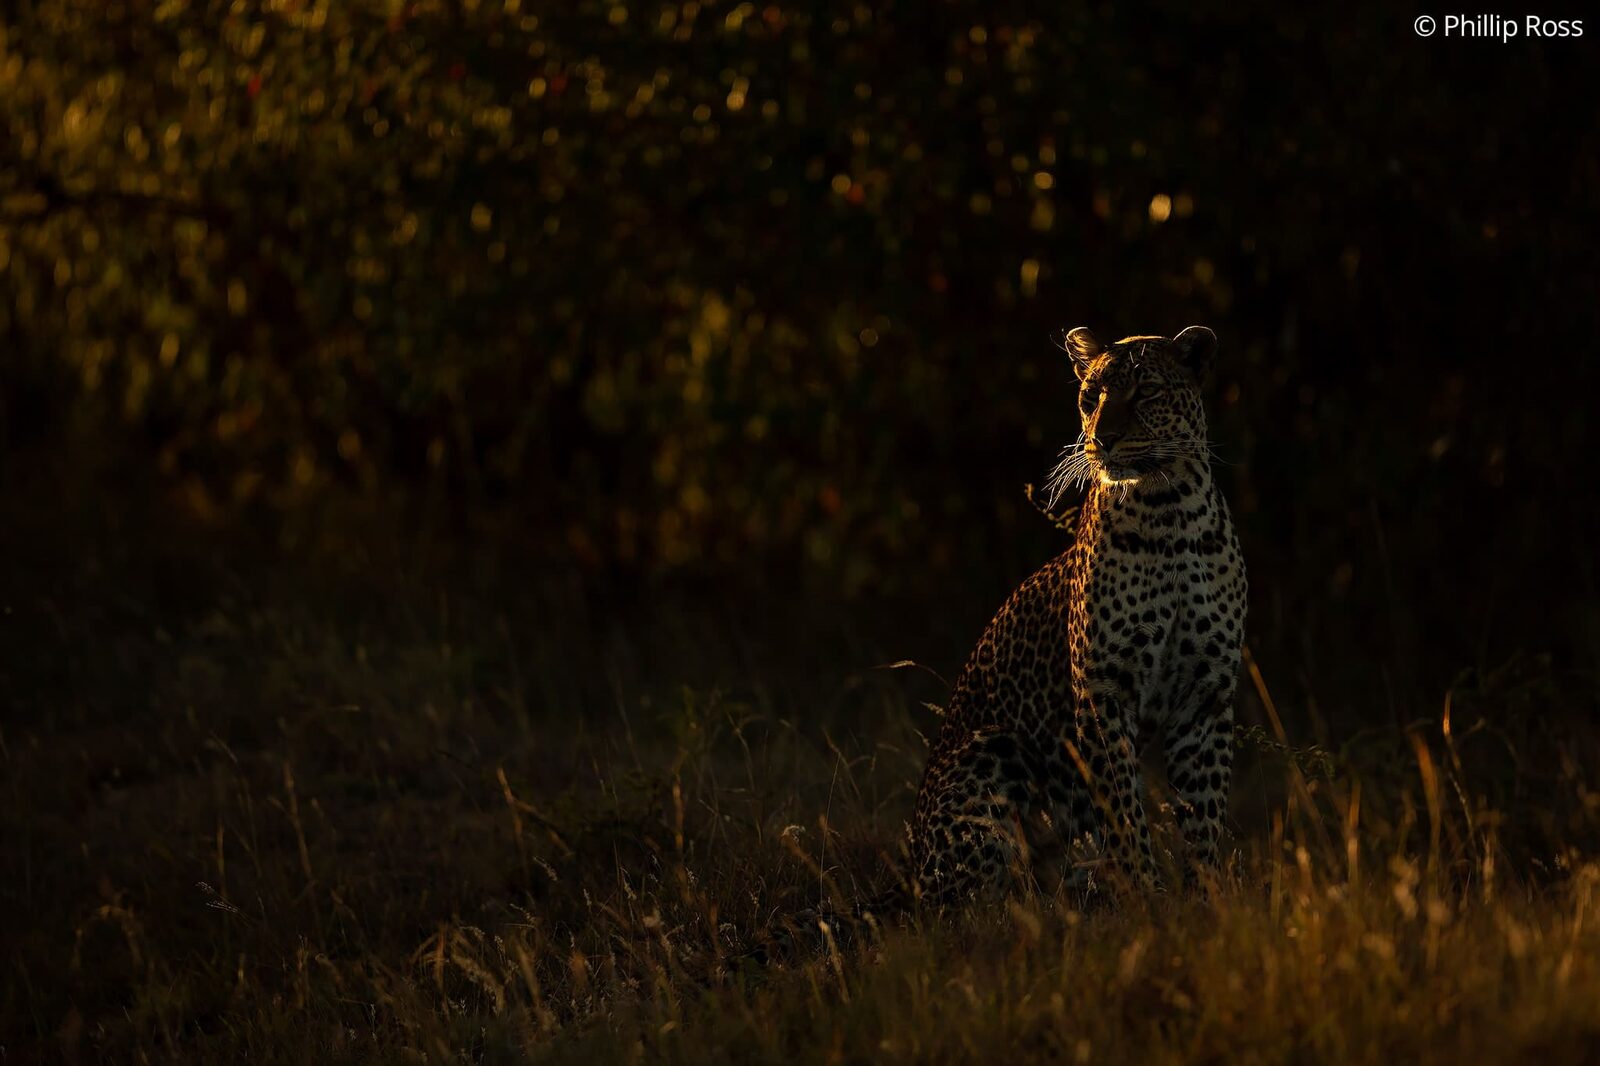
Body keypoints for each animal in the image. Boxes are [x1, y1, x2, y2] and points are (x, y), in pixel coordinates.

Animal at [905, 324, 1248, 904]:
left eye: (1146, 392)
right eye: (1091, 398)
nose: (1101, 440)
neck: (1170, 515)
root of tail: (908, 876)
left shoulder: (1204, 694)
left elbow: (1203, 814)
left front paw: (1208, 902)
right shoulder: (1103, 689)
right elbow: (1124, 811)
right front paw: (1147, 897)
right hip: (990, 752)